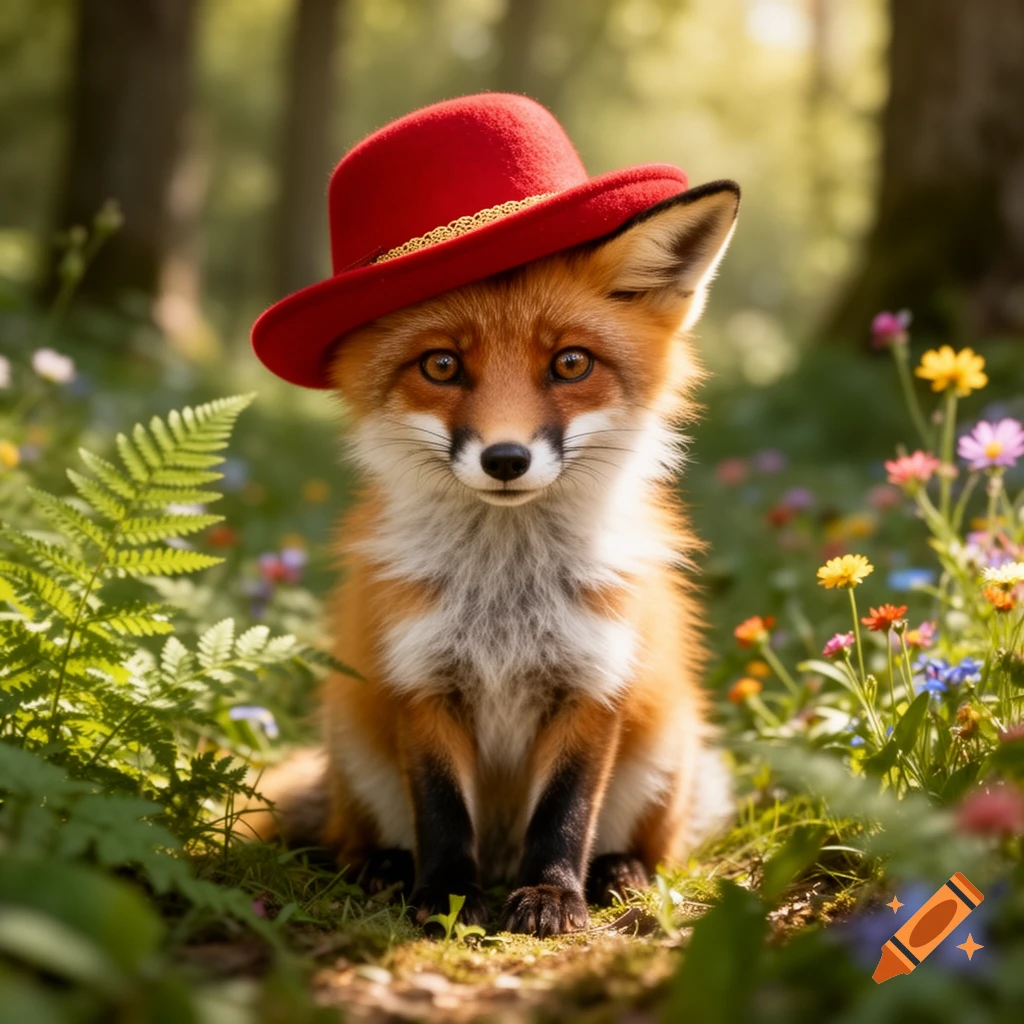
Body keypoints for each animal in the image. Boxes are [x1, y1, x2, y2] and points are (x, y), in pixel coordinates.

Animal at [250, 179, 741, 937]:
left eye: (571, 362)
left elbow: (565, 813)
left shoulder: (594, 682)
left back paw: (616, 873)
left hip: (664, 751)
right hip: (354, 746)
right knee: (353, 841)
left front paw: (552, 896)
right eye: (441, 365)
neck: (507, 597)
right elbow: (442, 813)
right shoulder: (422, 678)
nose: (506, 459)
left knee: (645, 846)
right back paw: (386, 870)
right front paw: (449, 898)